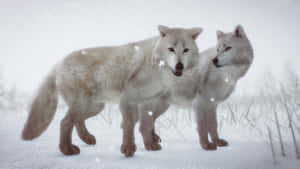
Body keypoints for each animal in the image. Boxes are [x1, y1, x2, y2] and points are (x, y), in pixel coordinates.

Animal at [21, 25, 204, 157]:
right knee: (64, 122)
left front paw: (151, 145)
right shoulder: (129, 98)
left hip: (95, 107)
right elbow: (130, 125)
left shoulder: (149, 101)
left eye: (186, 50)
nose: (179, 66)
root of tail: (57, 64)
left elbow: (146, 125)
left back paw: (86, 139)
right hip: (85, 104)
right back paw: (67, 150)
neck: (158, 67)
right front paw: (128, 149)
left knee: (76, 121)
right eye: (171, 49)